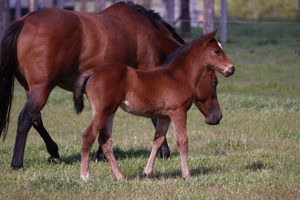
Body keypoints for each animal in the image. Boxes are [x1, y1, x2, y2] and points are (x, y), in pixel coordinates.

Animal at [0, 1, 185, 169]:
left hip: (31, 88)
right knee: (26, 117)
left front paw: (101, 154)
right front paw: (164, 152)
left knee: (36, 118)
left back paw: (54, 152)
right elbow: (155, 117)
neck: (151, 32)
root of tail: (24, 22)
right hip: (42, 88)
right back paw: (17, 163)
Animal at [74, 30, 236, 179]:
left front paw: (147, 172)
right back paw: (84, 176)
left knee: (105, 141)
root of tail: (93, 72)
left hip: (110, 112)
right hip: (102, 111)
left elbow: (158, 141)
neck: (179, 76)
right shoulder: (178, 111)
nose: (232, 68)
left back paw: (120, 176)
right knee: (88, 135)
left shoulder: (165, 116)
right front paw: (187, 174)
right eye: (217, 51)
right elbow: (183, 141)